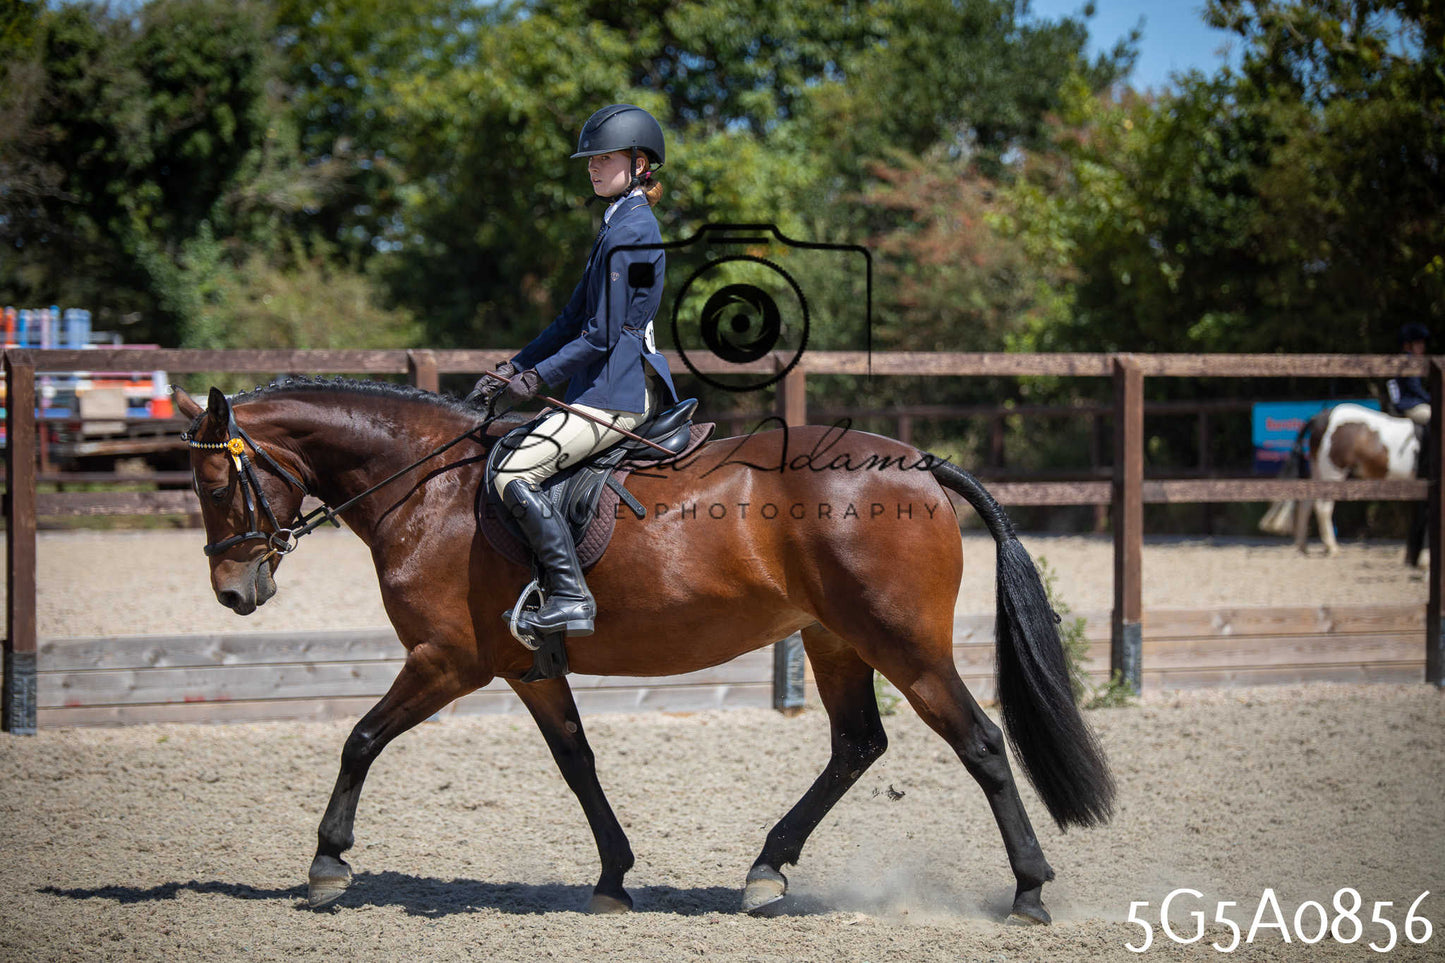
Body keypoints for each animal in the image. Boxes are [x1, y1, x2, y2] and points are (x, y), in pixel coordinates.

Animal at [171, 378, 1114, 924]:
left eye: (215, 483)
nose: (234, 592)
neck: (427, 489)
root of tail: (915, 463)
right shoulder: (524, 667)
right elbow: (577, 761)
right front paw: (613, 877)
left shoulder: (446, 660)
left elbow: (359, 738)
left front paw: (328, 863)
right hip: (834, 638)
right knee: (856, 744)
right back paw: (765, 871)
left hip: (901, 642)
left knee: (979, 743)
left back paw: (1029, 890)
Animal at [1258, 403, 1424, 559]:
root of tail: (1321, 417)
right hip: (1333, 473)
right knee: (1323, 507)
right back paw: (1332, 548)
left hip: (1318, 471)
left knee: (1307, 503)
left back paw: (1303, 547)